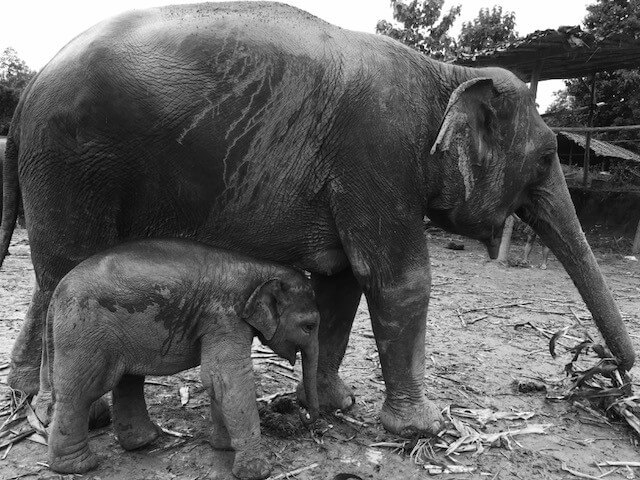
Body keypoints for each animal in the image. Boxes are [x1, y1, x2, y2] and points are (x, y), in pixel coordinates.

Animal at [1, 0, 636, 436]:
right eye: (549, 157)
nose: (613, 375)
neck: (446, 73)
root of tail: (29, 89)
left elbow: (341, 282)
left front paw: (335, 406)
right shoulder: (380, 152)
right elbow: (397, 281)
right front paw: (421, 429)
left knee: (50, 278)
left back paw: (31, 401)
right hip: (75, 163)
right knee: (64, 271)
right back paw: (77, 417)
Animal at [46, 238, 320, 478]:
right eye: (309, 326)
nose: (305, 416)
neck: (262, 269)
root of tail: (56, 292)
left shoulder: (220, 322)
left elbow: (216, 381)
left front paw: (222, 446)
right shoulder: (225, 317)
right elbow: (226, 378)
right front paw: (258, 471)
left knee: (127, 380)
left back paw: (145, 441)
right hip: (84, 330)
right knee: (82, 392)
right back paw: (78, 467)